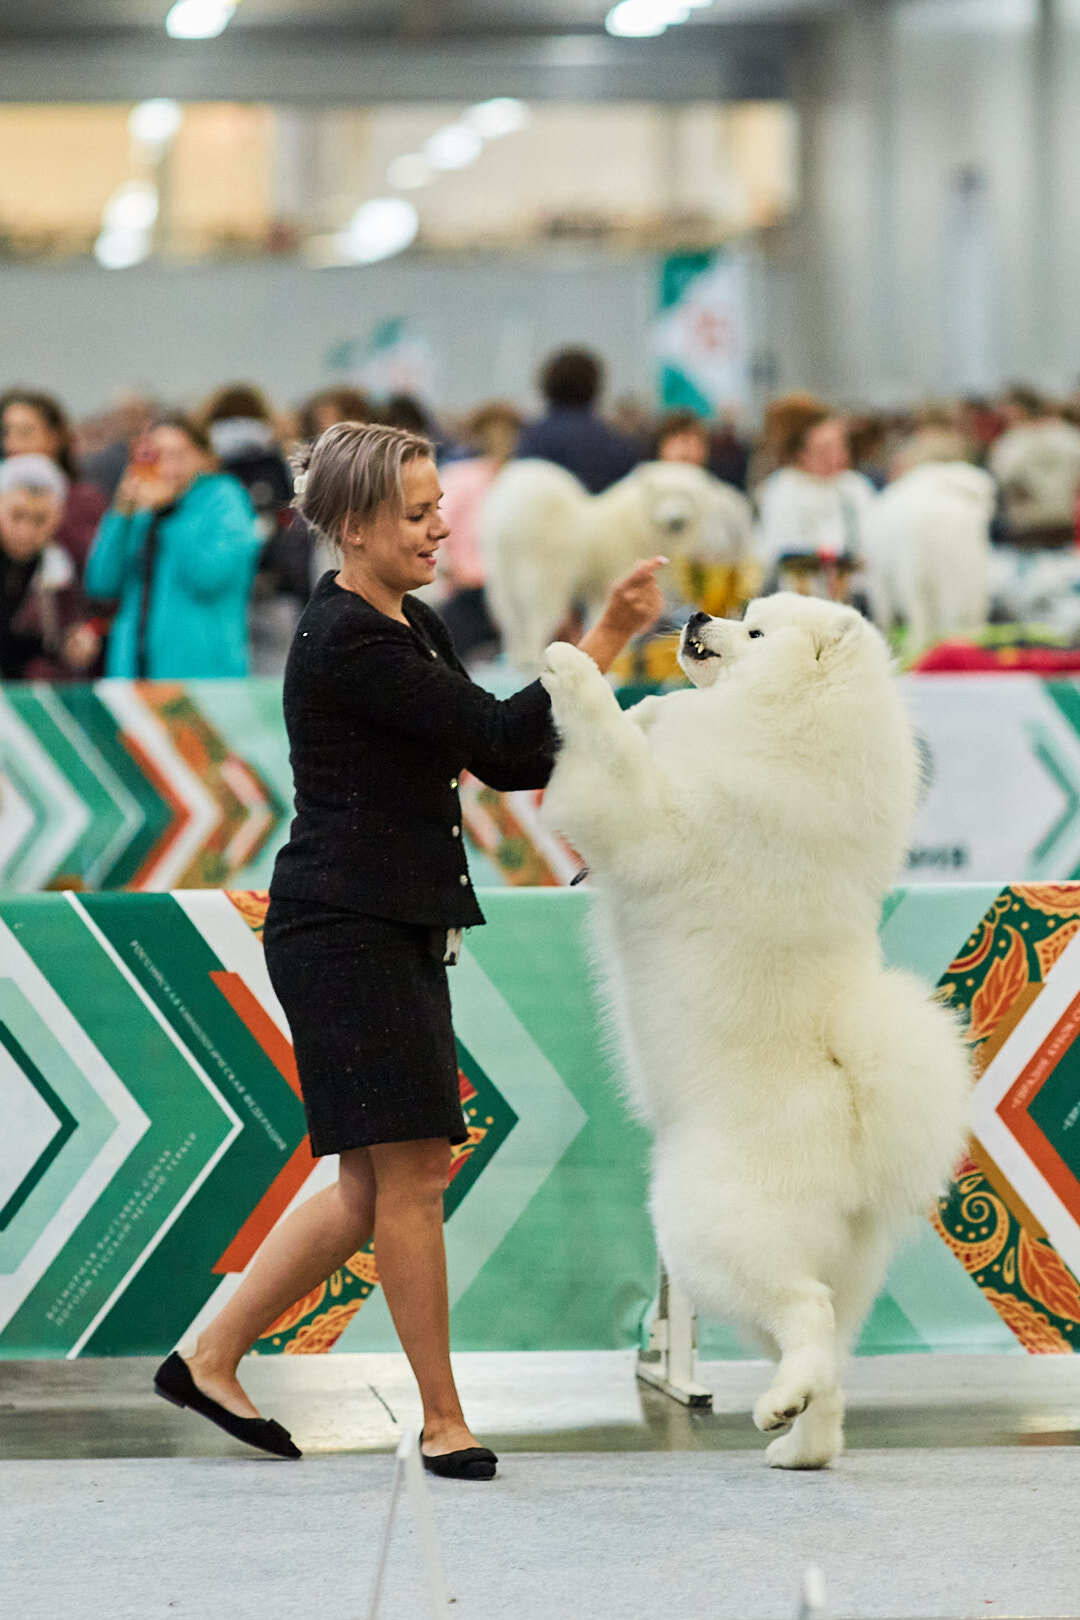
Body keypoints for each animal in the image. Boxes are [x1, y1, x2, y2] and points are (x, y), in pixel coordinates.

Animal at [482, 456, 751, 670]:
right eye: (664, 496)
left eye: (687, 497)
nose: (676, 520)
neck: (639, 524)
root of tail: (506, 515)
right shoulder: (615, 576)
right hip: (545, 575)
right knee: (536, 616)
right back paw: (533, 656)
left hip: (502, 575)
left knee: (510, 616)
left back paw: (518, 655)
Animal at [540, 592, 971, 1470]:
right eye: (746, 611)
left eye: (757, 630)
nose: (698, 616)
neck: (785, 726)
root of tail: (853, 1118)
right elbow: (647, 731)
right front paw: (650, 705)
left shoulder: (653, 817)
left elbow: (612, 752)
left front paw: (574, 668)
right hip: (809, 1265)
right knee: (827, 1356)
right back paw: (796, 1437)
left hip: (711, 1232)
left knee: (806, 1312)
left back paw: (779, 1413)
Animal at [861, 460, 997, 648]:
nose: (990, 510)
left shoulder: (880, 579)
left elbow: (886, 613)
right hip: (970, 572)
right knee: (975, 609)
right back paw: (972, 637)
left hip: (915, 575)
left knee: (923, 615)